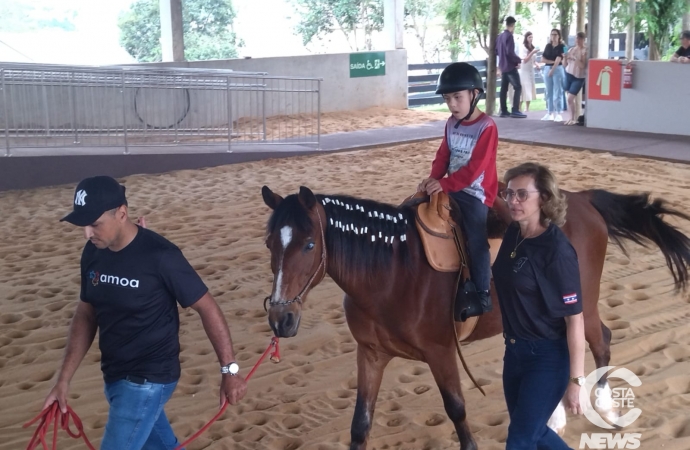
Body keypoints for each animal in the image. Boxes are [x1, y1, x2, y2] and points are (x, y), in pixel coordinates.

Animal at [260, 184, 688, 450]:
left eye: (309, 244)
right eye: (269, 243)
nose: (281, 318)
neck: (393, 273)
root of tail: (582, 201)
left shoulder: (441, 352)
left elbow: (457, 411)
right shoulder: (371, 353)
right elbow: (359, 425)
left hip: (583, 304)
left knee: (600, 341)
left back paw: (602, 405)